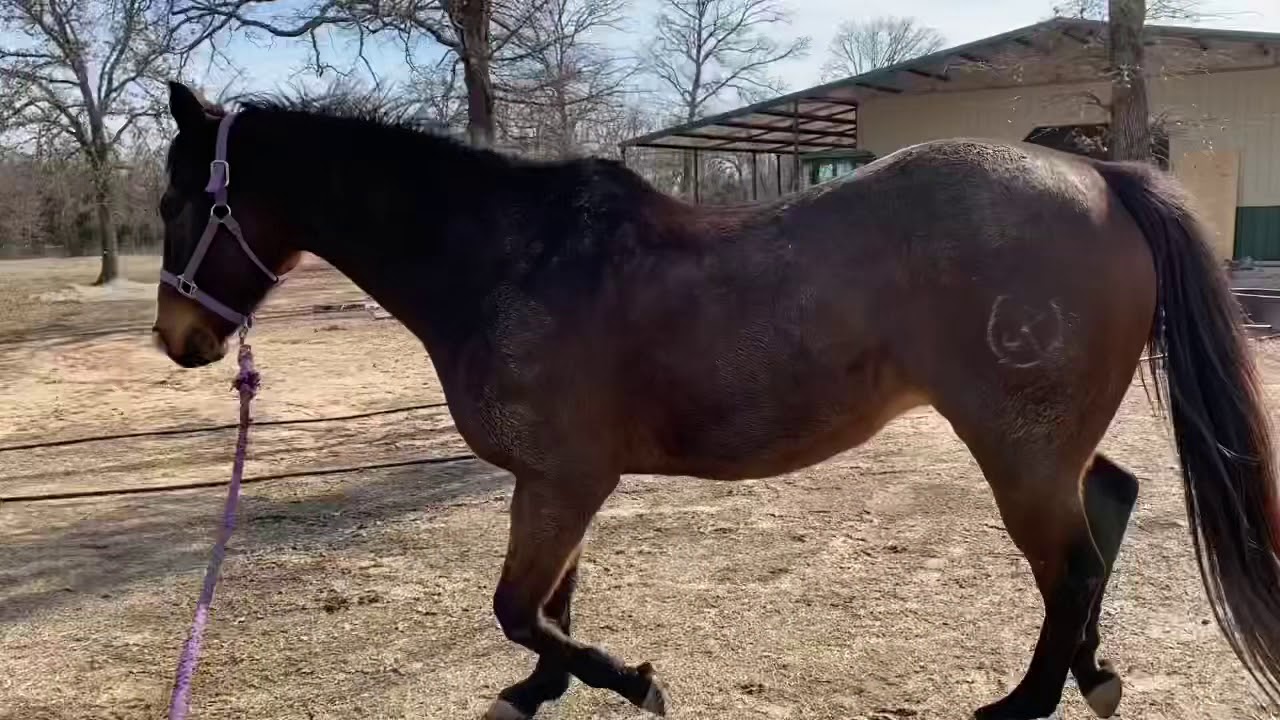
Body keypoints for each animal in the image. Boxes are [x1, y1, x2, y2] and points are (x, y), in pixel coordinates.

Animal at [151, 80, 1280, 720]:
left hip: (1016, 446)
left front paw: (628, 682)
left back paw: (1024, 703)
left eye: (177, 200)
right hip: (1046, 444)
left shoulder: (562, 481)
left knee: (1069, 563)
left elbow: (520, 609)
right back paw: (1091, 674)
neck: (508, 256)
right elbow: (550, 604)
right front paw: (540, 692)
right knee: (1110, 504)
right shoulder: (557, 486)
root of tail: (1100, 180)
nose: (179, 340)